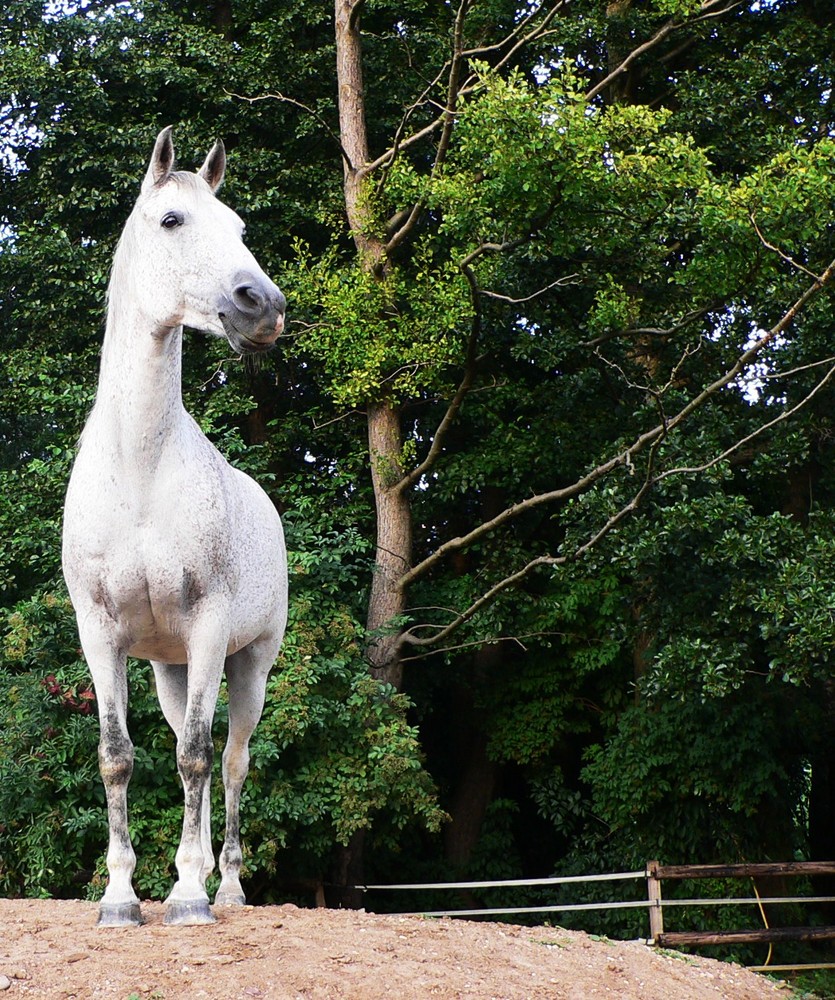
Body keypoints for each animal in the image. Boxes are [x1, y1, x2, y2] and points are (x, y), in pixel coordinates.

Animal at [62, 129, 290, 924]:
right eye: (172, 219)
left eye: (241, 228)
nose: (263, 305)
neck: (139, 469)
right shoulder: (101, 634)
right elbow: (117, 757)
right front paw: (120, 898)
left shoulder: (211, 627)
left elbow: (196, 755)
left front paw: (189, 895)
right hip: (172, 669)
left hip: (247, 663)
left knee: (230, 759)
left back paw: (226, 885)